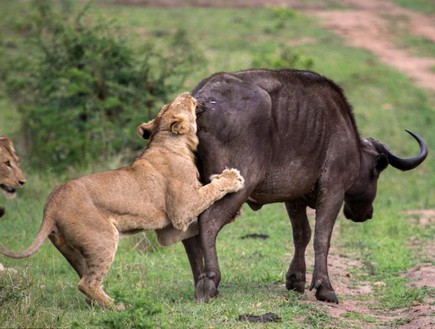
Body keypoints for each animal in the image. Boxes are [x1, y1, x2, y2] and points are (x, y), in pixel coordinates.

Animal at [0, 91, 245, 306]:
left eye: (166, 106)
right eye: (180, 103)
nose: (186, 93)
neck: (169, 141)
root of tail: (51, 203)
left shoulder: (169, 231)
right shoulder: (181, 212)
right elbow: (209, 191)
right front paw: (232, 178)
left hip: (74, 251)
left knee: (85, 281)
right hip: (103, 238)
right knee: (87, 283)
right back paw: (118, 306)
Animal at [141, 68, 428, 302]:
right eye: (377, 170)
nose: (364, 214)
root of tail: (202, 102)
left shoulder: (294, 197)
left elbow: (302, 234)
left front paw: (296, 279)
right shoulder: (333, 192)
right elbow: (322, 237)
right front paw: (324, 287)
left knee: (189, 231)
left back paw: (198, 280)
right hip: (236, 185)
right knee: (208, 223)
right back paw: (210, 281)